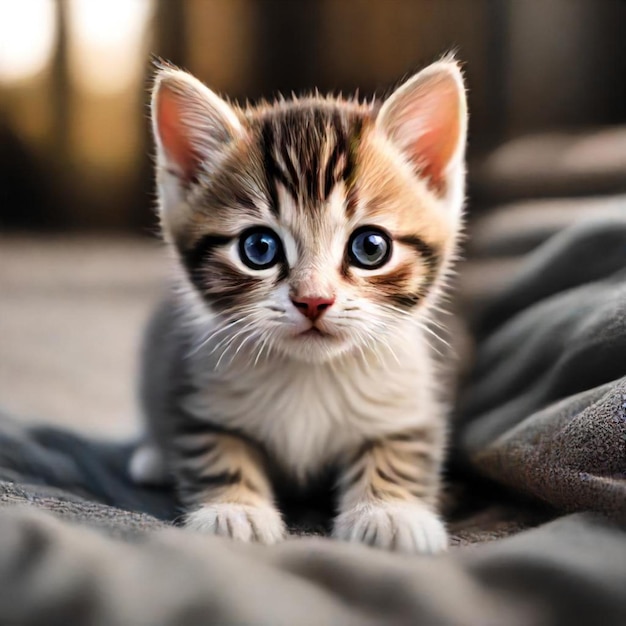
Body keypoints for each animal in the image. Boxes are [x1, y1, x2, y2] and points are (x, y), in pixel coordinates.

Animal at [129, 58, 466, 552]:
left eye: (370, 247)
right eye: (259, 248)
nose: (313, 299)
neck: (311, 374)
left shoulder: (407, 399)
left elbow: (401, 450)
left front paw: (391, 512)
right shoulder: (194, 387)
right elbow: (213, 448)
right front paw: (234, 511)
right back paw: (153, 457)